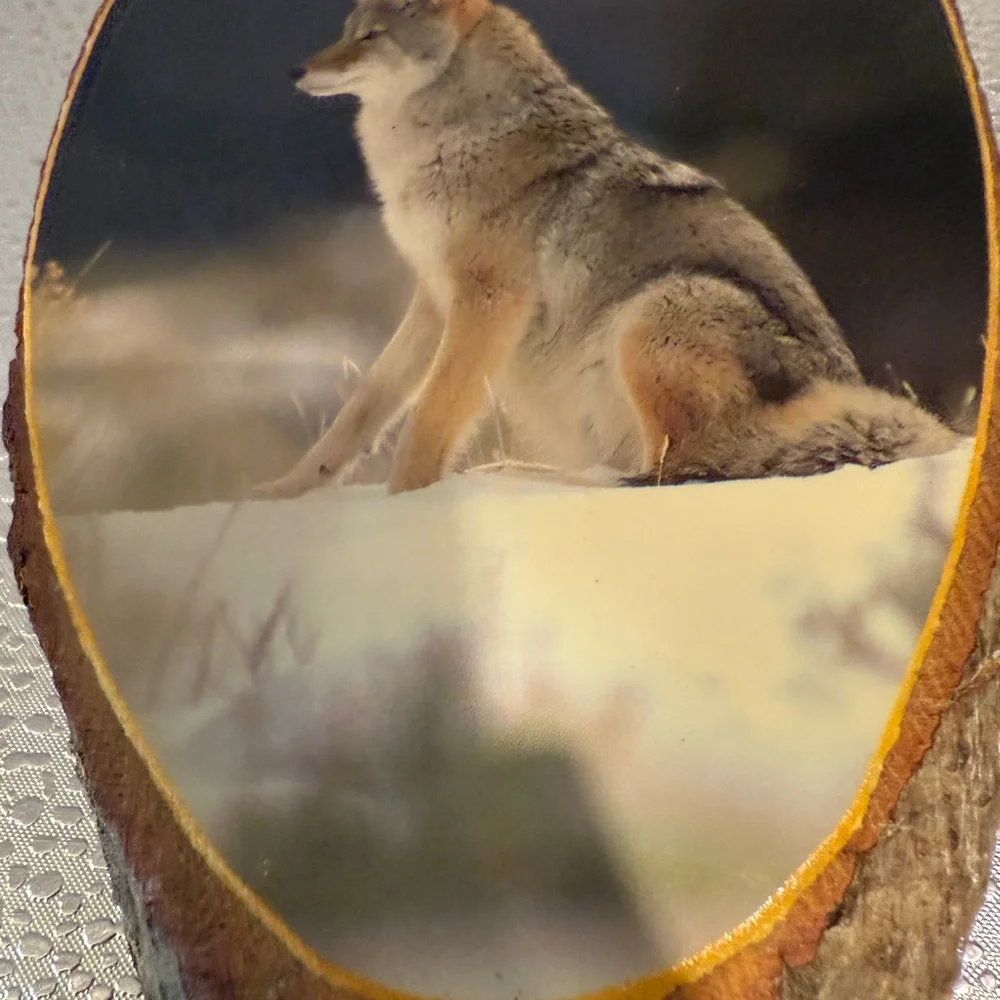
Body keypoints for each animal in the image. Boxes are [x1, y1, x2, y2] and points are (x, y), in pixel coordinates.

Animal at [253, 0, 959, 498]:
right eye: (348, 29)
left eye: (371, 35)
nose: (295, 71)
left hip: (650, 316)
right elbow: (363, 411)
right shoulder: (434, 297)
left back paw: (524, 479)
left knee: (676, 474)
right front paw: (283, 492)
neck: (457, 136)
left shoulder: (489, 301)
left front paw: (410, 502)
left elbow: (428, 421)